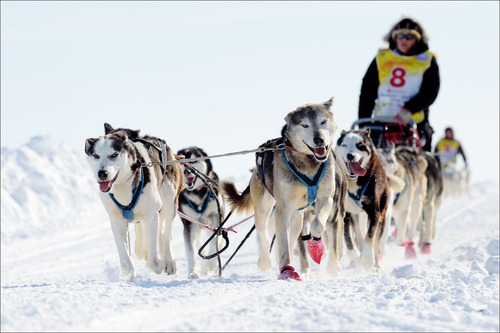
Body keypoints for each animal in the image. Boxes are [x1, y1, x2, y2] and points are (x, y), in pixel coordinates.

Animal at [85, 123, 184, 282]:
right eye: (96, 155)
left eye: (114, 155)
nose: (102, 173)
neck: (123, 185)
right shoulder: (117, 223)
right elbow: (126, 262)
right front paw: (129, 276)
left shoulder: (151, 216)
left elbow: (154, 260)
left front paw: (158, 265)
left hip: (170, 203)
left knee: (166, 234)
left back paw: (168, 261)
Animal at [175, 145, 224, 278]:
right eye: (180, 161)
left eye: (193, 160)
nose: (186, 171)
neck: (197, 193)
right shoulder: (189, 225)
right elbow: (190, 250)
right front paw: (192, 272)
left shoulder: (217, 217)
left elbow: (214, 240)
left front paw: (212, 263)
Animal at [224, 97, 344, 278]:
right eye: (305, 125)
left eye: (323, 121)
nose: (319, 140)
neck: (308, 162)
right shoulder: (282, 209)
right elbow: (282, 242)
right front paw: (286, 270)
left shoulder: (326, 198)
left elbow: (318, 225)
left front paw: (316, 247)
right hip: (265, 208)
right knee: (264, 234)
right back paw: (266, 262)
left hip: (297, 218)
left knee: (292, 236)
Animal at [336, 128, 402, 272]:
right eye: (344, 145)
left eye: (359, 145)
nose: (350, 155)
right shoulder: (345, 213)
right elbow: (348, 239)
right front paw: (355, 254)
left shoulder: (374, 212)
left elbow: (370, 236)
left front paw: (367, 259)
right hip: (355, 215)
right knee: (358, 235)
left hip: (382, 217)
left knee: (376, 242)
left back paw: (376, 264)